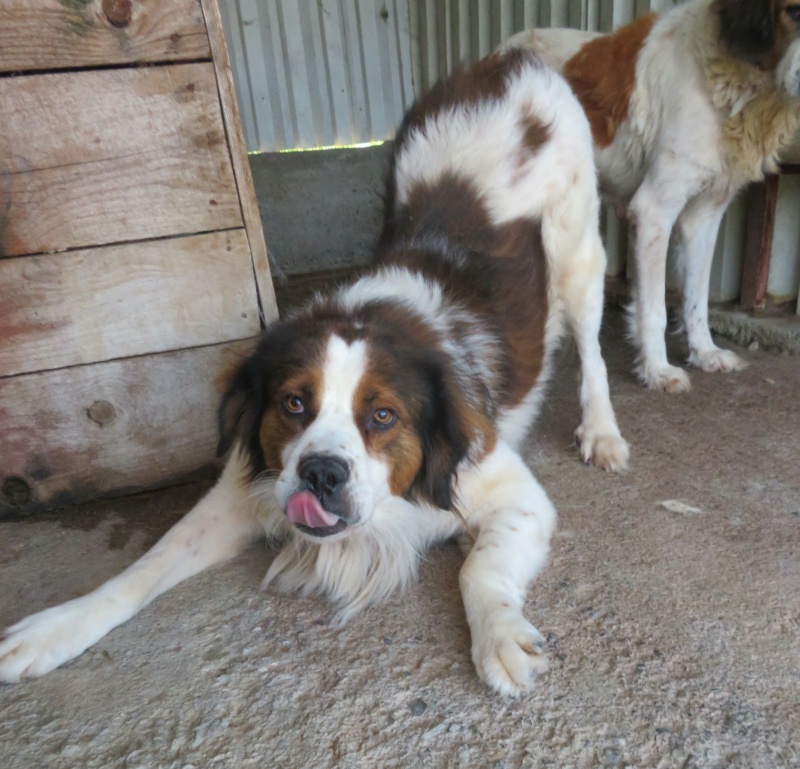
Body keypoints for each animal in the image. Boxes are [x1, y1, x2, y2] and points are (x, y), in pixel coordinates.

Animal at [0, 48, 632, 696]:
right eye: (294, 404)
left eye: (383, 416)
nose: (321, 473)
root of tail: (509, 60)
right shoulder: (243, 487)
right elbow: (145, 565)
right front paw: (58, 626)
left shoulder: (513, 494)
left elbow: (478, 570)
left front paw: (500, 636)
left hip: (579, 256)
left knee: (592, 351)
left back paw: (602, 432)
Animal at [504, 0, 800, 390]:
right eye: (793, 12)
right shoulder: (653, 211)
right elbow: (654, 308)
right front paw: (657, 369)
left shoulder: (705, 216)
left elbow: (697, 297)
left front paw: (704, 352)